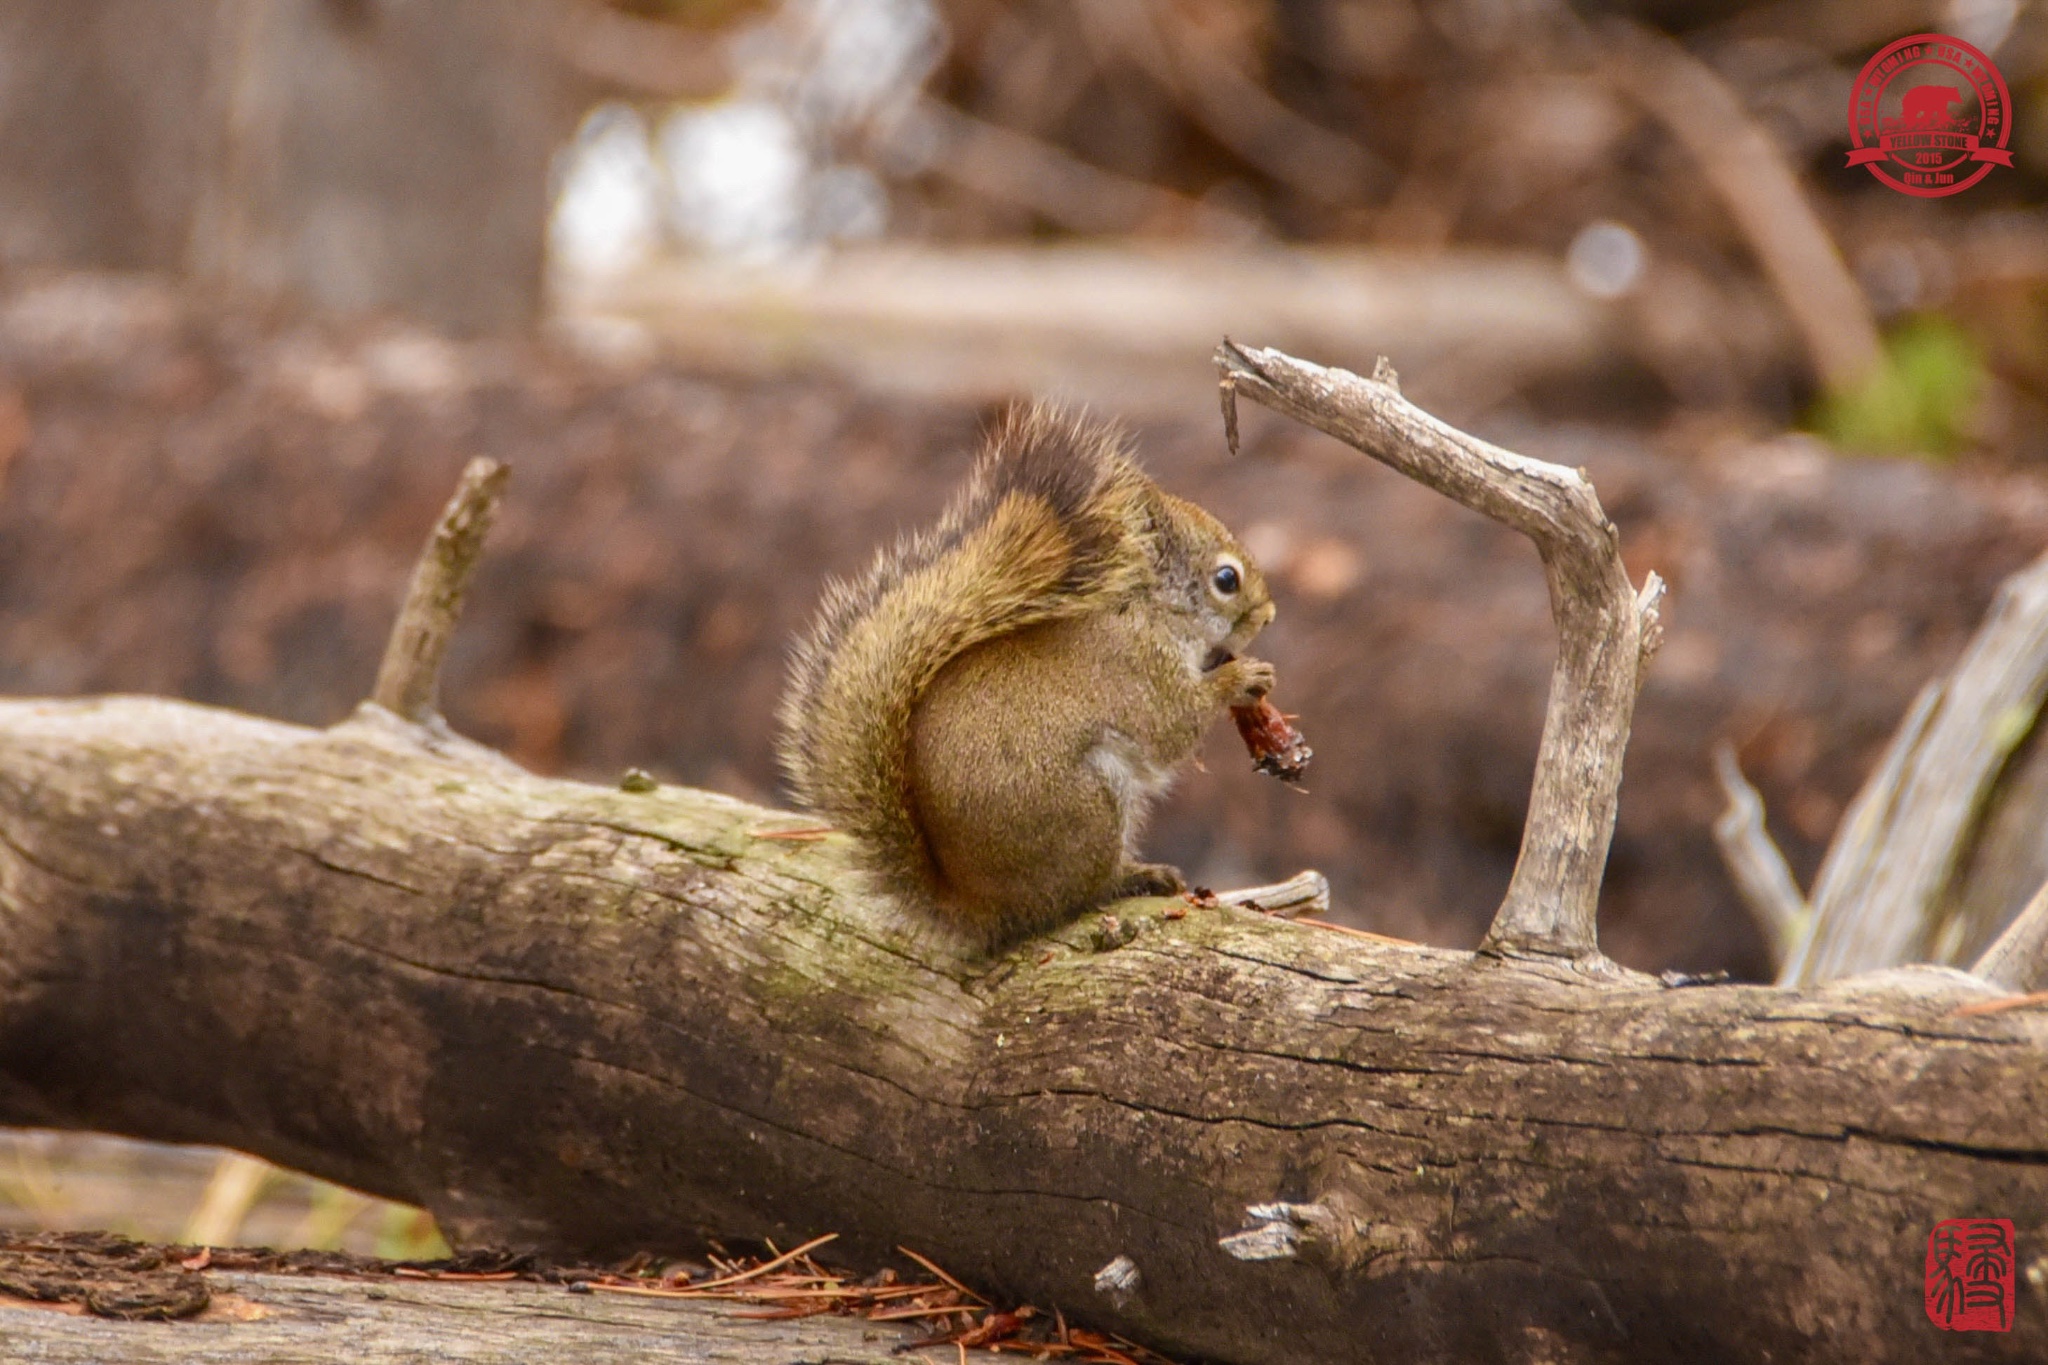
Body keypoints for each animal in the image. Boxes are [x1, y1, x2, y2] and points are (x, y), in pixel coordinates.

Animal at [782, 401, 1277, 945]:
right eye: (1226, 579)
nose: (1269, 615)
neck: (1148, 607)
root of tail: (978, 905)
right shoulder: (1137, 669)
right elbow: (1172, 725)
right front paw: (1242, 679)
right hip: (1088, 806)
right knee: (1075, 894)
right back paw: (1134, 877)